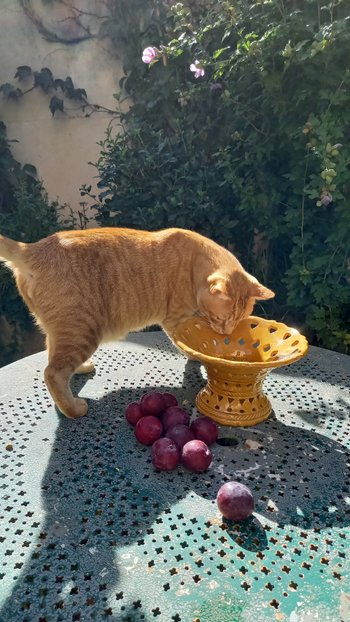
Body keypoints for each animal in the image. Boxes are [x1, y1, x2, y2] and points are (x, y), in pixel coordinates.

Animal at [0, 228, 274, 420]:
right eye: (221, 319)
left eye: (237, 320)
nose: (226, 330)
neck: (194, 264)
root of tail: (33, 249)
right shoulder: (175, 319)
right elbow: (188, 342)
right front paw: (202, 353)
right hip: (82, 331)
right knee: (53, 373)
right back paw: (74, 409)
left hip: (61, 331)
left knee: (52, 355)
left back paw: (80, 370)